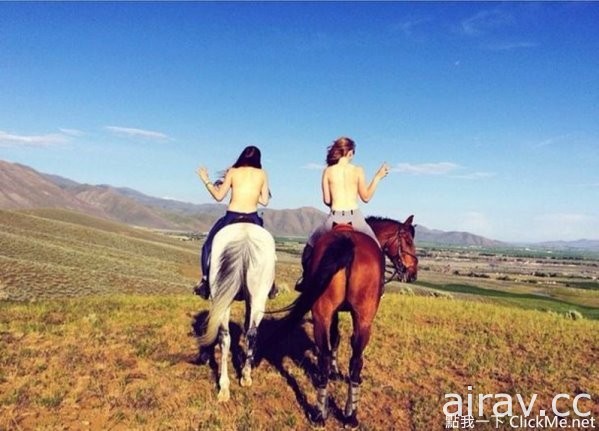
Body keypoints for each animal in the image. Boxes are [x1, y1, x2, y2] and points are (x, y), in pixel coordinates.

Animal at [197, 224, 276, 404]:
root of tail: (245, 236)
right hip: (257, 298)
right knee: (251, 334)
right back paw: (245, 376)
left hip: (221, 297)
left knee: (224, 337)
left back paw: (224, 386)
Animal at [276, 224, 384, 430]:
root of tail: (348, 243)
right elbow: (336, 338)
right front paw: (335, 371)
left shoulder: (335, 313)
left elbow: (334, 338)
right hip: (349, 317)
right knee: (347, 359)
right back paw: (337, 414)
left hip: (331, 315)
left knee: (339, 359)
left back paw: (333, 415)